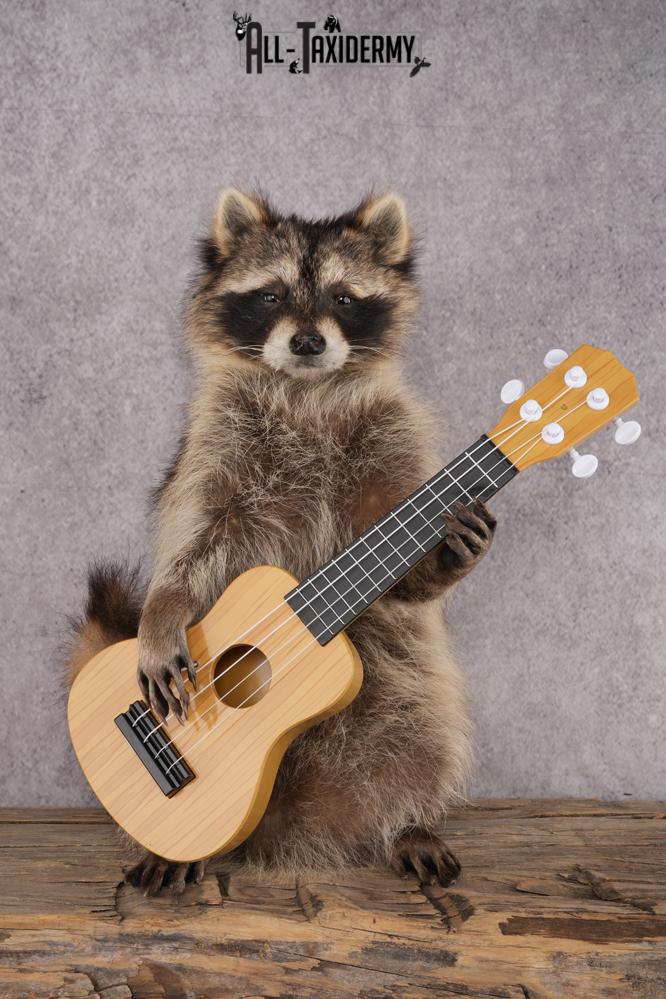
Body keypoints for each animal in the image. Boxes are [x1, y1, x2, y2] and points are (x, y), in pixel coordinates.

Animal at [66, 189, 496, 897]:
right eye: (270, 295)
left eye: (344, 299)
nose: (307, 340)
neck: (307, 387)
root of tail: (285, 826)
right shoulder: (213, 440)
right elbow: (193, 536)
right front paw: (166, 604)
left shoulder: (395, 434)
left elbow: (410, 580)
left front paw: (448, 552)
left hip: (400, 686)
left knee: (424, 728)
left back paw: (412, 820)